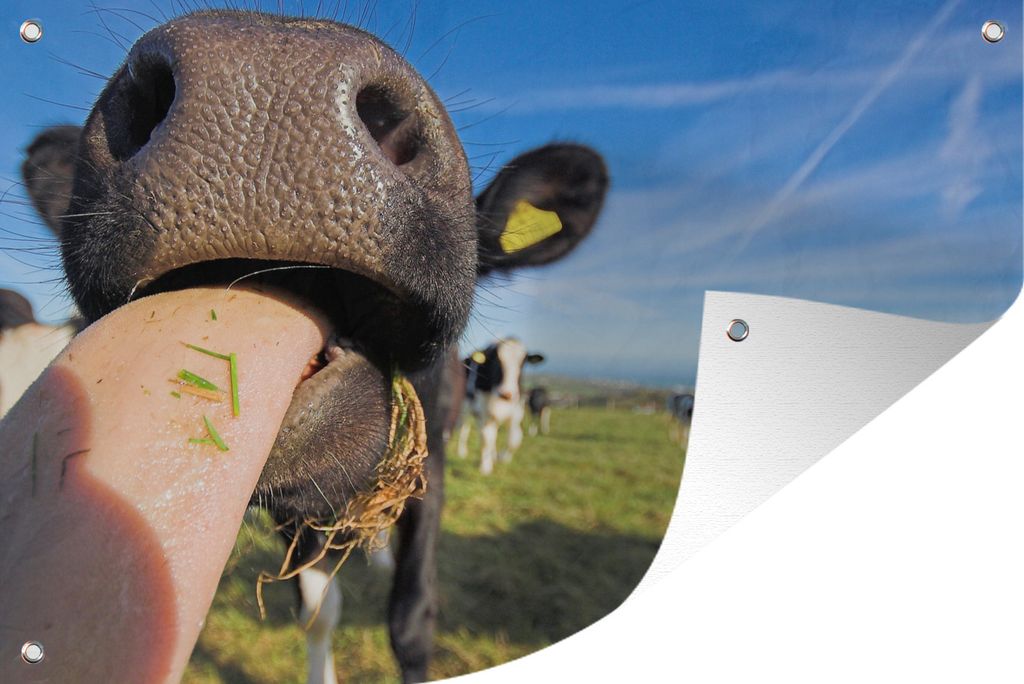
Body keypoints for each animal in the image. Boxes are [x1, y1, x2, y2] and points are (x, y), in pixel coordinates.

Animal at [456, 338, 545, 474]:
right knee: (464, 429)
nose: (506, 394)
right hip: (465, 408)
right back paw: (462, 452)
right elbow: (486, 439)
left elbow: (515, 438)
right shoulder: (485, 412)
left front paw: (502, 458)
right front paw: (485, 467)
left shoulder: (516, 412)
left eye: (523, 363)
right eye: (495, 360)